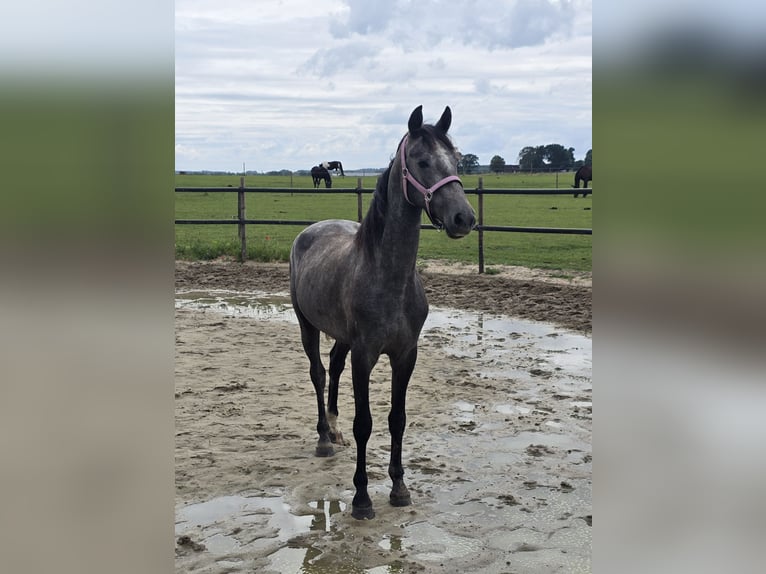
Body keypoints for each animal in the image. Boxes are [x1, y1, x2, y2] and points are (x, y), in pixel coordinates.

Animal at [289, 105, 476, 520]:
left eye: (457, 159)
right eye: (421, 161)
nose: (464, 218)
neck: (389, 277)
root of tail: (310, 232)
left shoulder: (405, 355)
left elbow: (397, 419)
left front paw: (399, 488)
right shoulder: (366, 355)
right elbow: (365, 423)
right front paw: (362, 499)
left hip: (342, 336)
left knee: (333, 367)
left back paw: (334, 428)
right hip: (307, 325)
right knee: (318, 373)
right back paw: (324, 439)